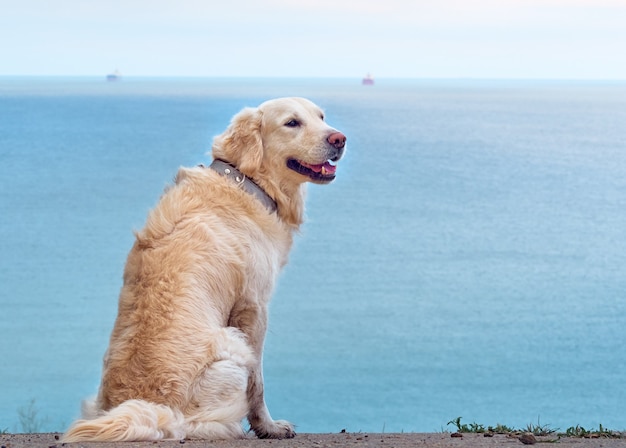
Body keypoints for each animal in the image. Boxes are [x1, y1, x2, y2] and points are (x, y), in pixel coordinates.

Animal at [62, 96, 346, 442]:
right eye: (292, 123)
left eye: (322, 117)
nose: (339, 139)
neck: (246, 182)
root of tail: (157, 409)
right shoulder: (253, 309)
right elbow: (258, 384)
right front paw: (268, 427)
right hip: (232, 349)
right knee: (199, 425)